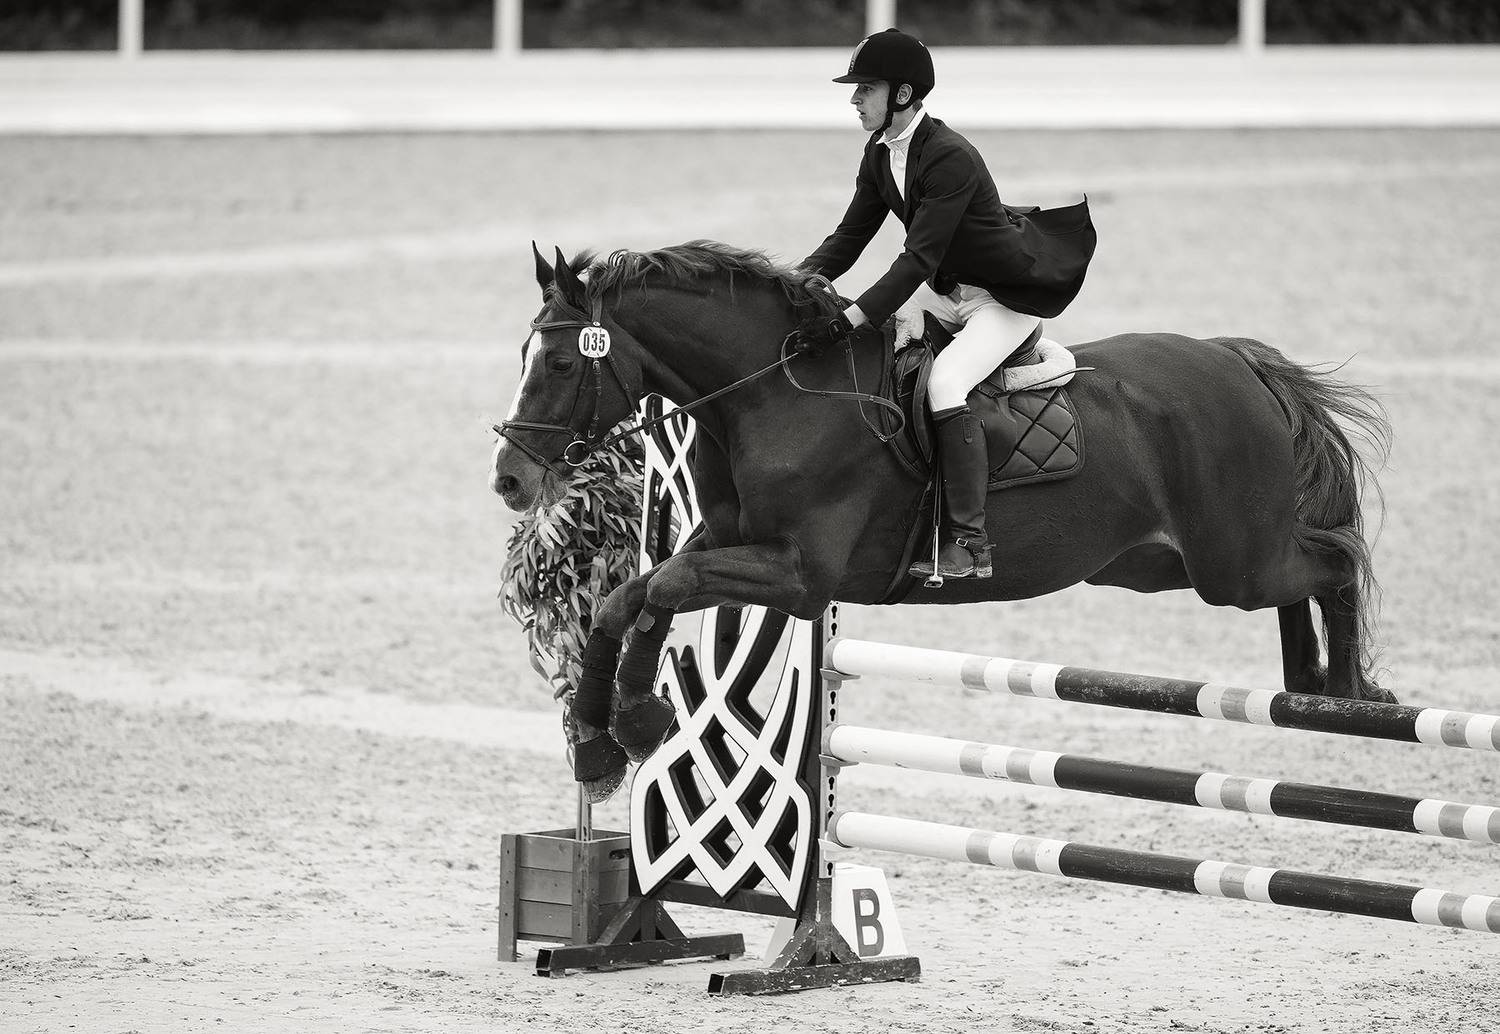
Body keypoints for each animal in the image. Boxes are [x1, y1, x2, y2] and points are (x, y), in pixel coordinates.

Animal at [491, 241, 1392, 801]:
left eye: (562, 361)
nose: (509, 478)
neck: (771, 396)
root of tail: (1237, 361)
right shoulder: (732, 544)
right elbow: (631, 596)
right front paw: (603, 742)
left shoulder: (800, 575)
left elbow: (666, 585)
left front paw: (633, 720)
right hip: (1161, 564)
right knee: (1304, 578)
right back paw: (1307, 683)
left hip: (1231, 563)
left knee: (1334, 561)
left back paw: (1349, 690)